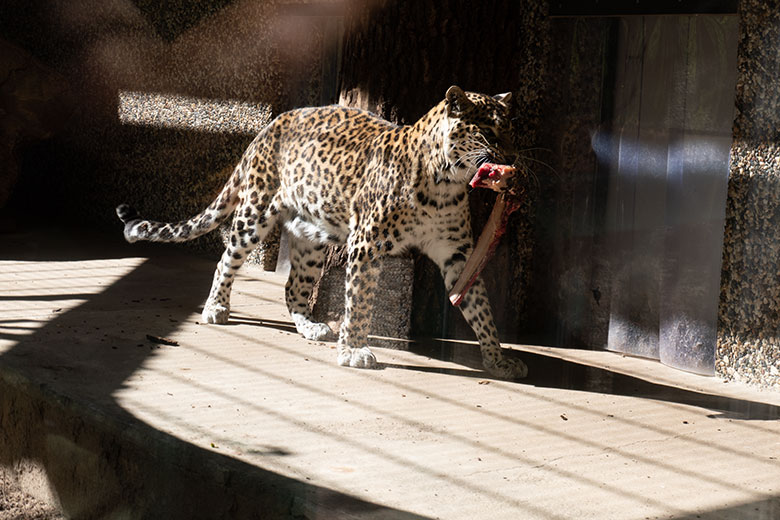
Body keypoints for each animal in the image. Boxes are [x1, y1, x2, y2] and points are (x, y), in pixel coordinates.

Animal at [116, 84, 532, 378]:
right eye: (489, 133)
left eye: (512, 133)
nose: (513, 159)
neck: (445, 183)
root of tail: (269, 126)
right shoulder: (367, 243)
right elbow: (360, 301)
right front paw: (354, 350)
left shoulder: (458, 253)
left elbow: (480, 308)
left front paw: (497, 359)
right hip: (255, 212)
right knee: (226, 259)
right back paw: (216, 308)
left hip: (312, 235)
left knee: (292, 288)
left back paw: (311, 327)